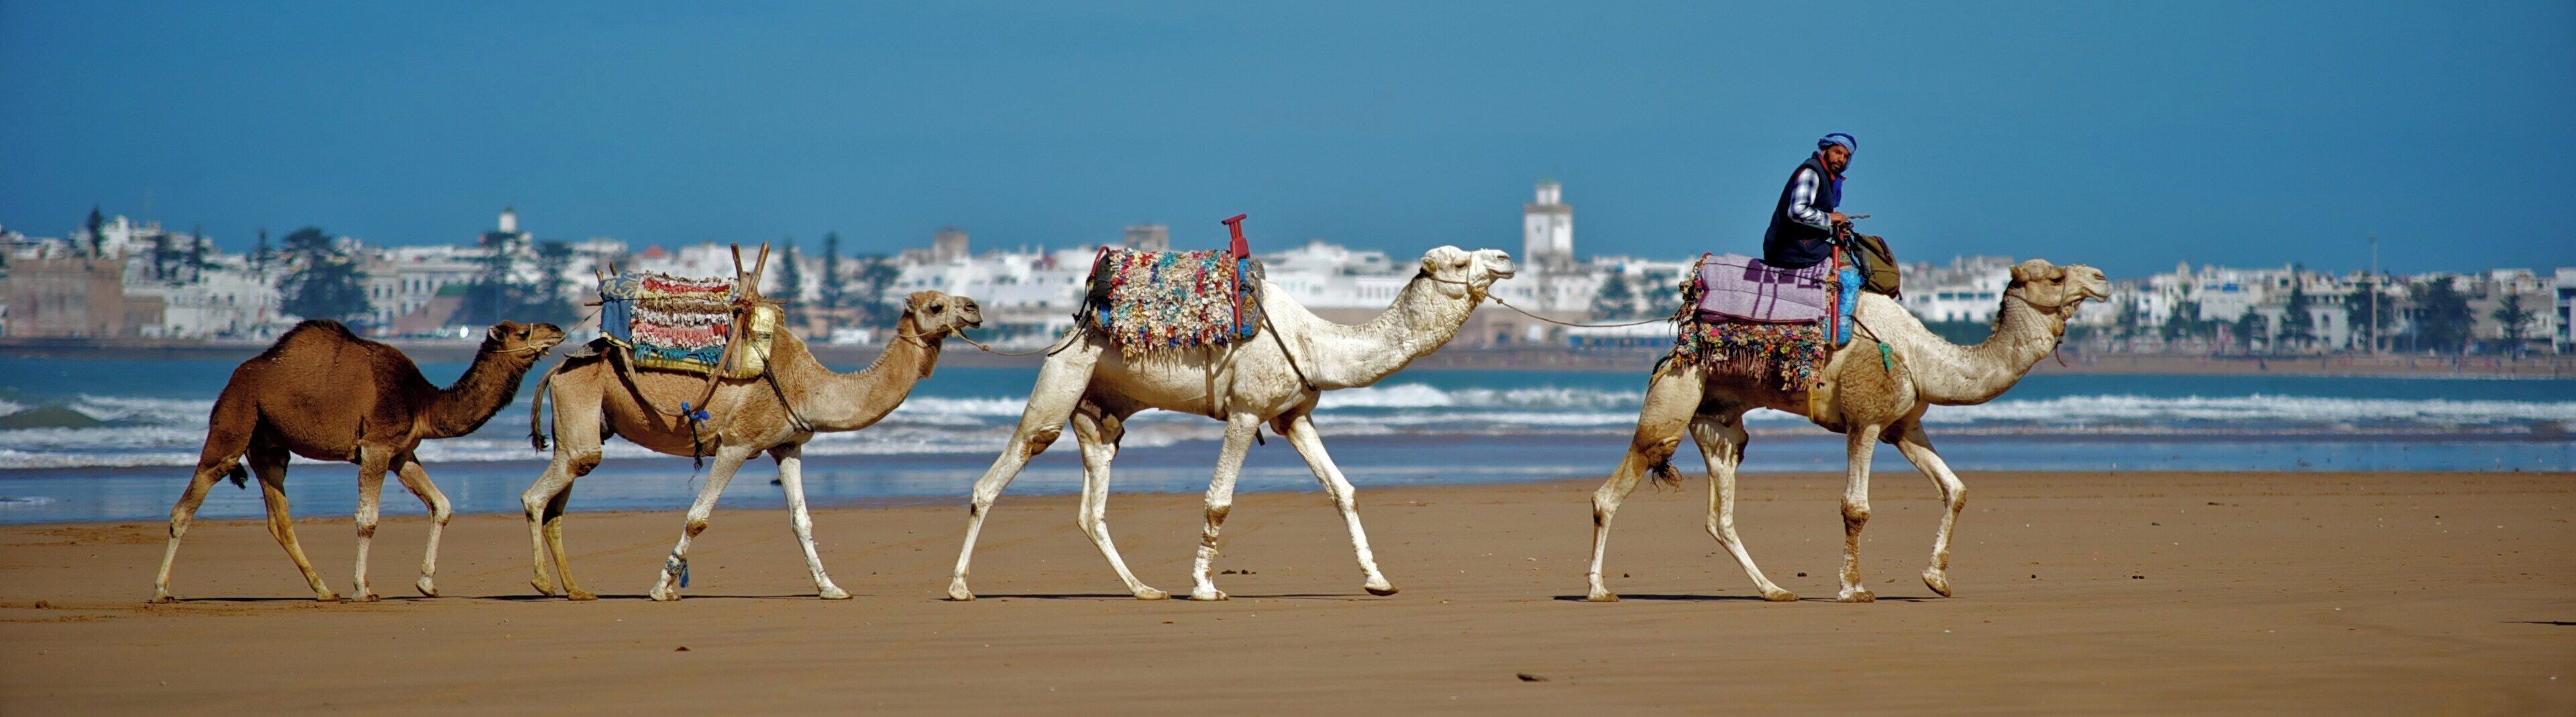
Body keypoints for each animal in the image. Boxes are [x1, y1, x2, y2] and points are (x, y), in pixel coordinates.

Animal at [152, 319, 565, 602]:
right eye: (522, 332)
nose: (557, 330)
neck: (422, 401)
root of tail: (233, 380)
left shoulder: (402, 453)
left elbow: (442, 505)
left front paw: (427, 583)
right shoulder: (376, 447)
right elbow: (367, 520)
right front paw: (363, 589)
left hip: (268, 447)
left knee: (279, 519)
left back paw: (323, 590)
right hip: (234, 422)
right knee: (188, 502)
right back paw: (160, 590)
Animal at [522, 290, 982, 601]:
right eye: (935, 306)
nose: (974, 309)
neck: (807, 384)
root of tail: (558, 368)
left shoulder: (788, 445)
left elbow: (802, 521)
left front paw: (831, 588)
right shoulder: (737, 443)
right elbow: (698, 518)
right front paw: (661, 587)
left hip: (589, 423)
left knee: (559, 498)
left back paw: (575, 589)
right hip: (580, 406)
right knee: (539, 494)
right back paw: (543, 583)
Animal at [945, 245, 1516, 601]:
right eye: (1459, 258)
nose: (1506, 259)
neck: (1314, 341)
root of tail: (1079, 319)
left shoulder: (1293, 415)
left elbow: (1343, 491)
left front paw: (1378, 579)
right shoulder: (1245, 411)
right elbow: (1219, 500)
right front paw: (1204, 586)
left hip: (1097, 413)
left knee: (1092, 508)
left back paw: (1144, 589)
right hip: (1061, 378)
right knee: (1002, 469)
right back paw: (959, 586)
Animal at [1584, 259, 2107, 603]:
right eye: (2056, 276)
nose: (2102, 279)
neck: (1922, 358)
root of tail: (1675, 349)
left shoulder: (1904, 424)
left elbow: (1955, 489)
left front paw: (1936, 578)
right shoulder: (1866, 419)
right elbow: (1856, 508)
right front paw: (1853, 588)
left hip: (1718, 422)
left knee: (1721, 514)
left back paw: (1774, 590)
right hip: (1673, 399)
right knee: (1616, 486)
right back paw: (1598, 589)